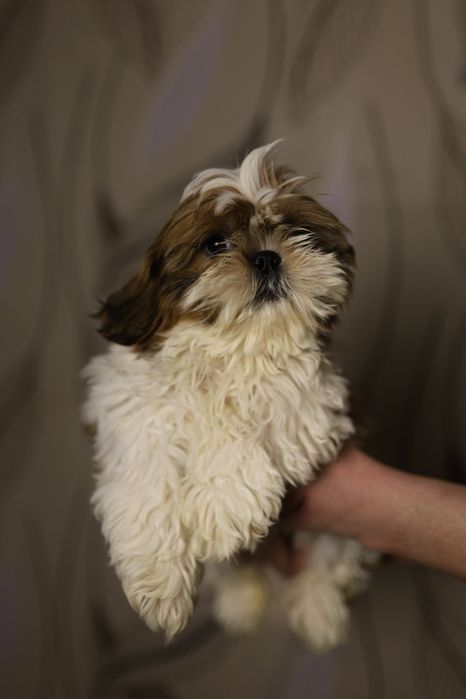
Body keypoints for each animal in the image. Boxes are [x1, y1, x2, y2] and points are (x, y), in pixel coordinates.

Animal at [82, 142, 376, 651]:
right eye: (215, 244)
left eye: (296, 231)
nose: (268, 257)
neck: (235, 347)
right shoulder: (129, 409)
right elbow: (145, 464)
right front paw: (160, 582)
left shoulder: (317, 404)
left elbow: (244, 424)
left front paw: (223, 507)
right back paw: (242, 598)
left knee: (329, 561)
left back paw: (317, 605)